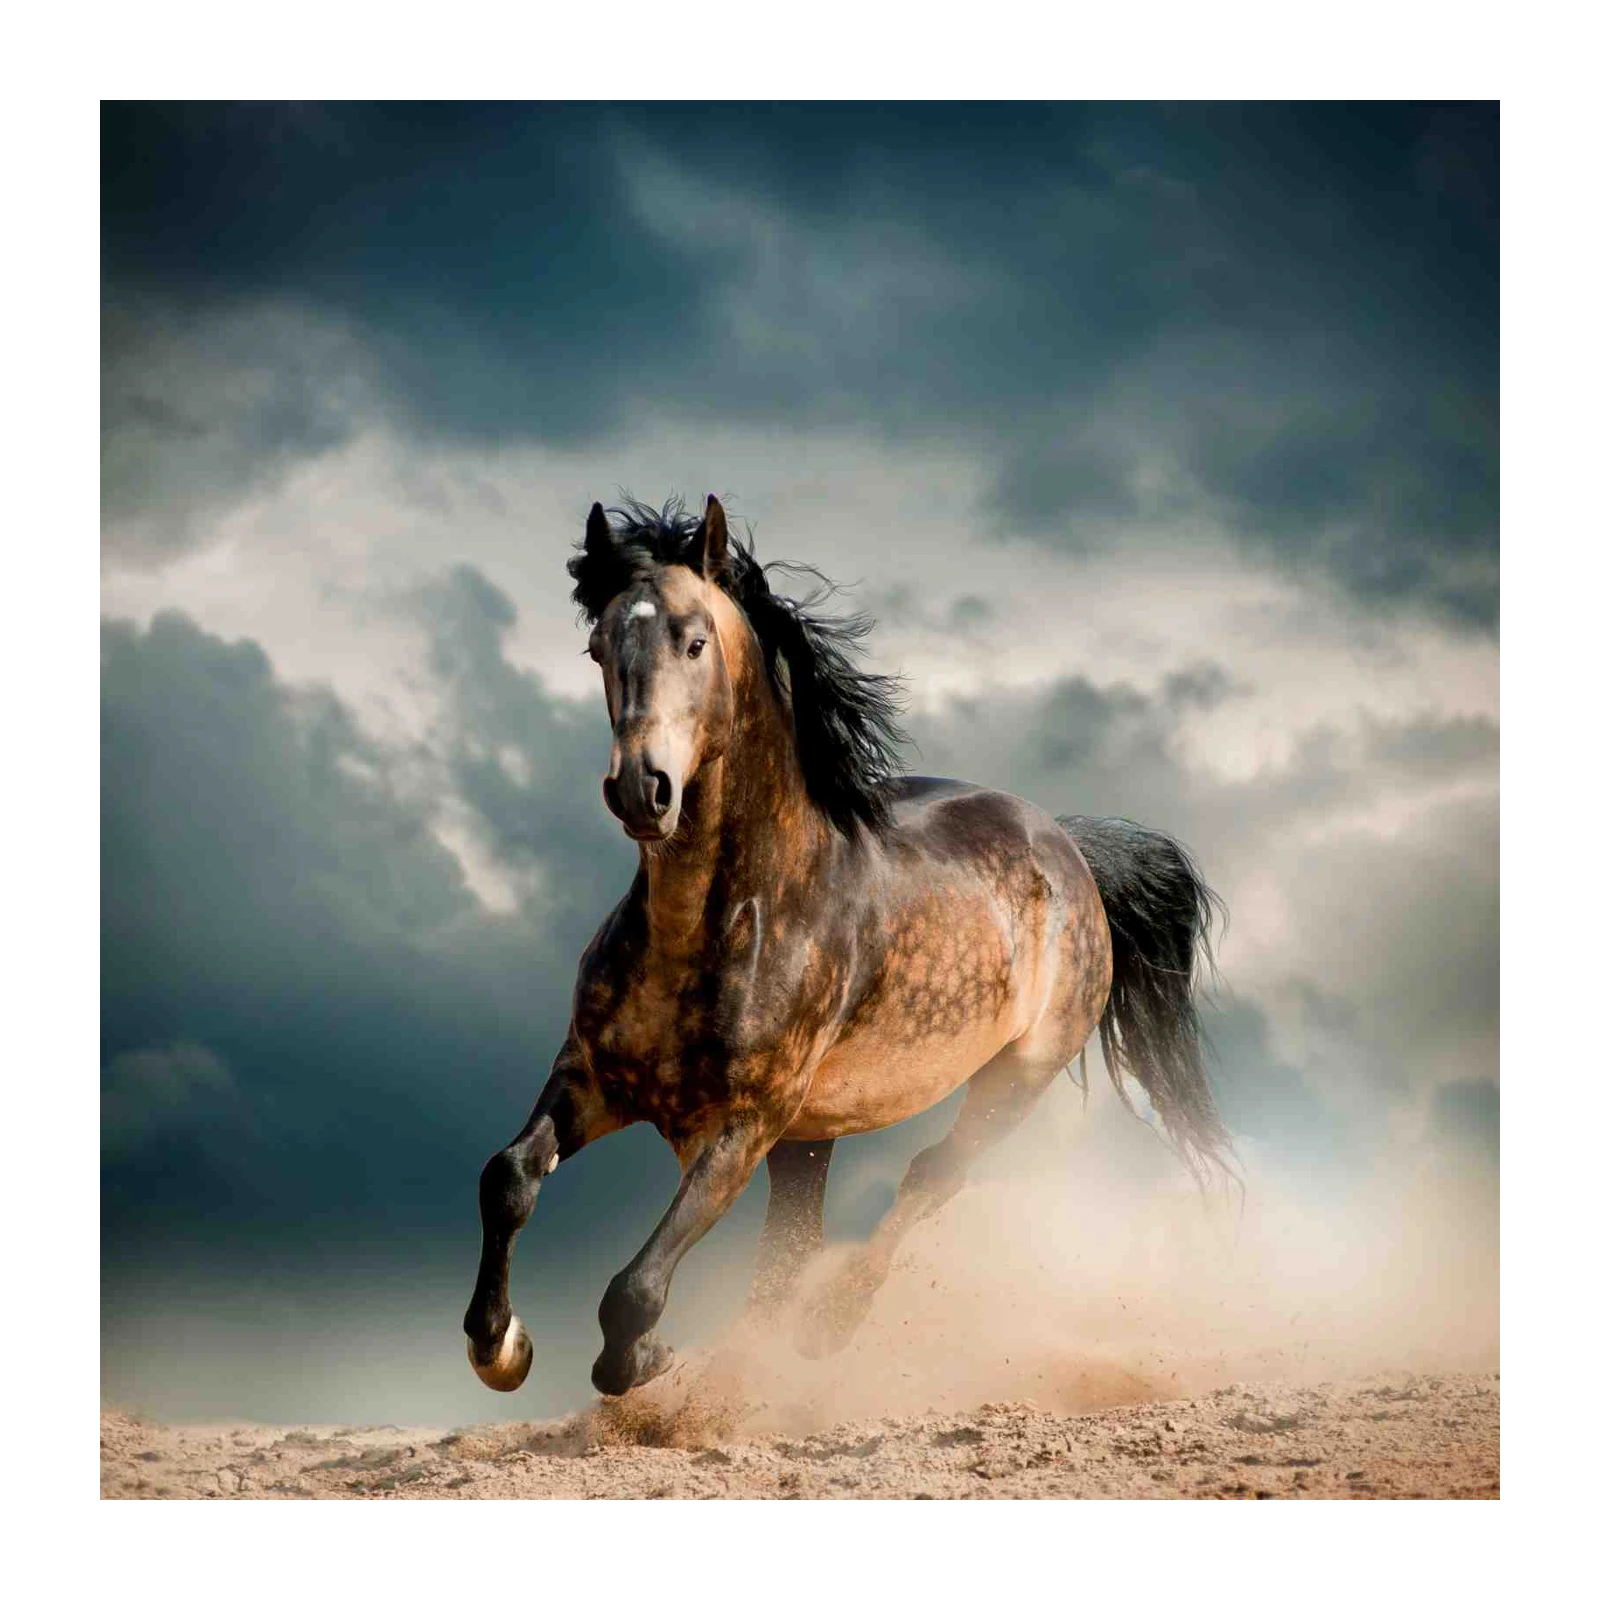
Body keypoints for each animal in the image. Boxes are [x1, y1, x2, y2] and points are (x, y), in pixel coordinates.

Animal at [463, 494, 1233, 1398]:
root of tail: (1070, 847)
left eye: (694, 641)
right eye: (598, 647)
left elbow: (636, 1288)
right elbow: (509, 1177)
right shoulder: (592, 1078)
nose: (641, 790)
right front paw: (500, 1347)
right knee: (790, 1250)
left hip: (1014, 1079)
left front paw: (642, 1360)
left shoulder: (746, 1124)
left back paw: (827, 1327)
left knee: (929, 1177)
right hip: (813, 1137)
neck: (721, 924)